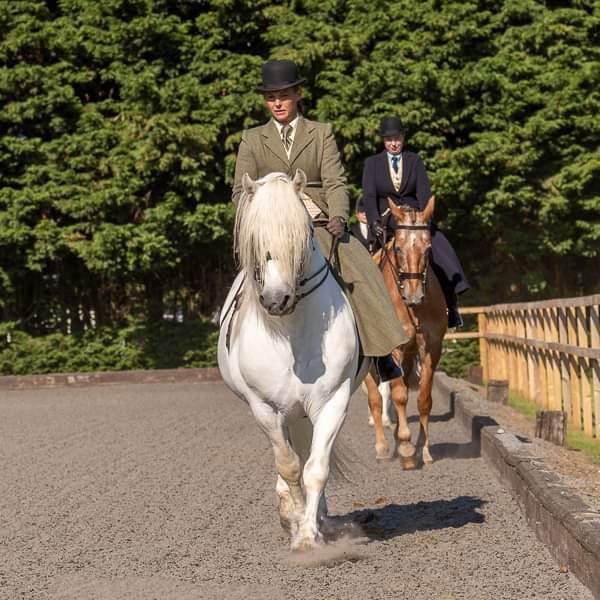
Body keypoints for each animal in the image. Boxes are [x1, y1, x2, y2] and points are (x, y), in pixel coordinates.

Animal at [218, 171, 368, 552]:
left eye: (304, 237)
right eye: (255, 241)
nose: (276, 300)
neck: (292, 334)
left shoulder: (333, 401)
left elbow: (316, 468)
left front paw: (309, 535)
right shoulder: (265, 407)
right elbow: (289, 465)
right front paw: (296, 520)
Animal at [364, 197, 448, 468]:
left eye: (428, 249)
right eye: (399, 249)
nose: (414, 296)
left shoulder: (431, 347)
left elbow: (423, 398)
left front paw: (424, 448)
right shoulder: (394, 349)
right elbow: (399, 395)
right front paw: (406, 447)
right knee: (375, 398)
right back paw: (382, 447)